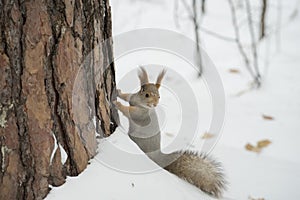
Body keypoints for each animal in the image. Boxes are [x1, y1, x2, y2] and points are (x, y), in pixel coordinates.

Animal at [113, 67, 226, 198]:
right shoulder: (133, 98)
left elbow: (128, 111)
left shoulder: (140, 114)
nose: (154, 104)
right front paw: (118, 92)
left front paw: (117, 104)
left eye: (159, 96)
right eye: (146, 94)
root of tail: (158, 158)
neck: (141, 104)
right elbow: (126, 96)